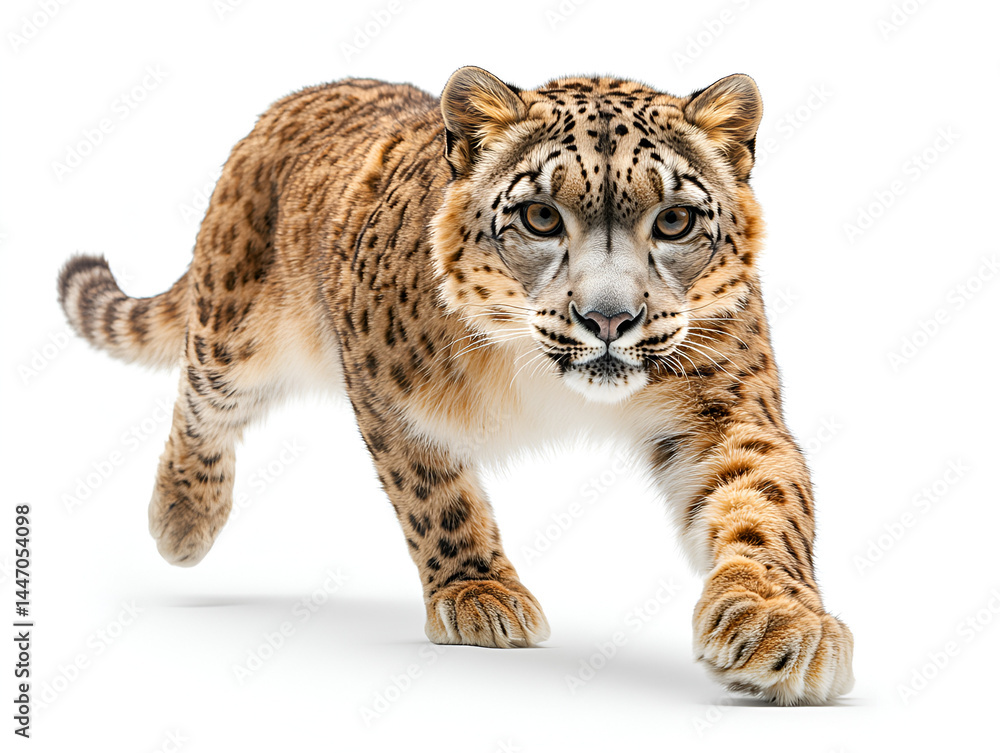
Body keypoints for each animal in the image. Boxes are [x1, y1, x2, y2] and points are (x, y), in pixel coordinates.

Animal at [57, 66, 854, 705]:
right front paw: (480, 594)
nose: (608, 318)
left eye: (676, 220)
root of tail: (288, 104)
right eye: (541, 215)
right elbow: (434, 493)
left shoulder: (725, 398)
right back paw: (181, 520)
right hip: (235, 332)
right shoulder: (387, 390)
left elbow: (765, 500)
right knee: (200, 398)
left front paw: (786, 629)